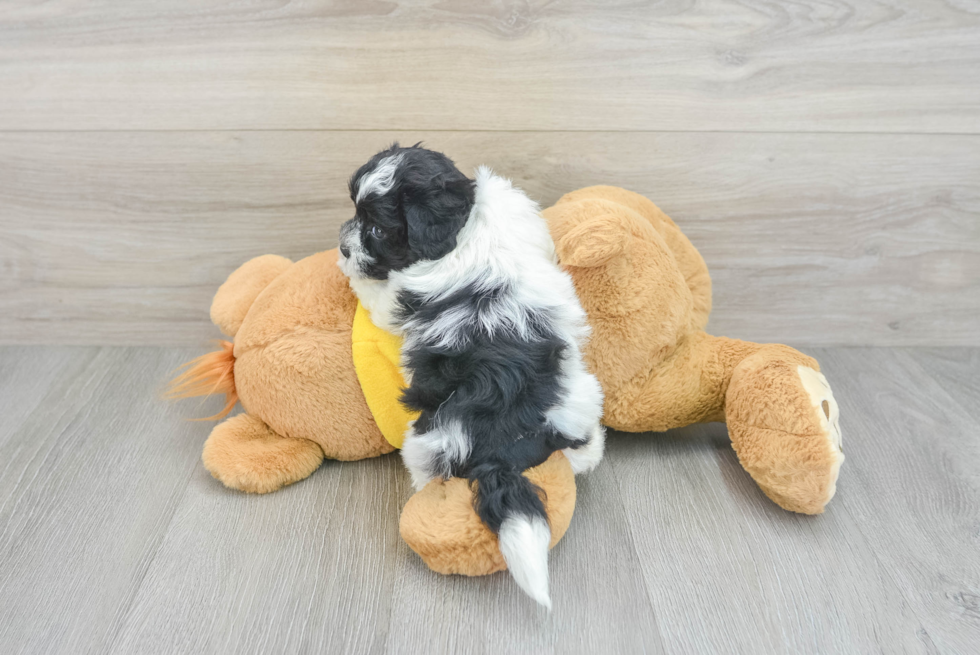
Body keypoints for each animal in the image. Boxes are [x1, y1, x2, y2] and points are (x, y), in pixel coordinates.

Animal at [336, 145, 604, 608]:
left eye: (376, 228)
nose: (342, 245)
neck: (467, 228)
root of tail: (504, 450)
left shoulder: (398, 295)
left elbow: (378, 295)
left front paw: (352, 277)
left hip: (433, 438)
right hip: (580, 395)